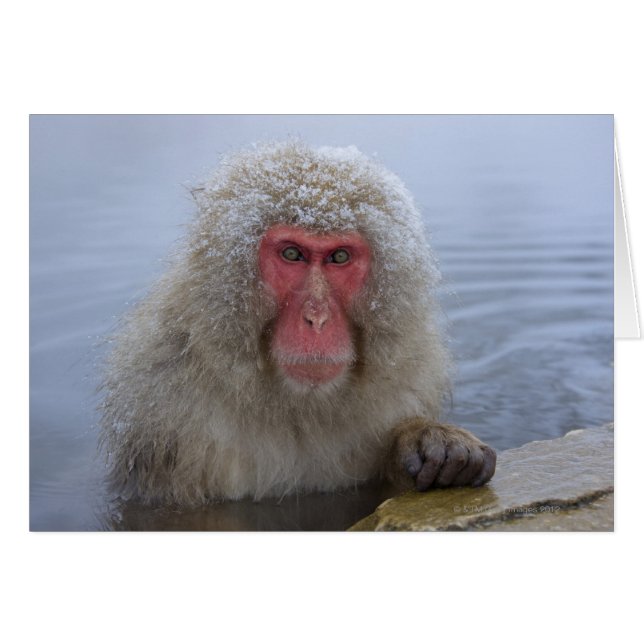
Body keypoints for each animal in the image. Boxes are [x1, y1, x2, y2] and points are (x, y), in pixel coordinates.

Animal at [99, 141, 496, 506]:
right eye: (292, 254)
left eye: (339, 257)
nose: (316, 318)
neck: (298, 407)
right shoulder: (163, 410)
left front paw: (429, 443)